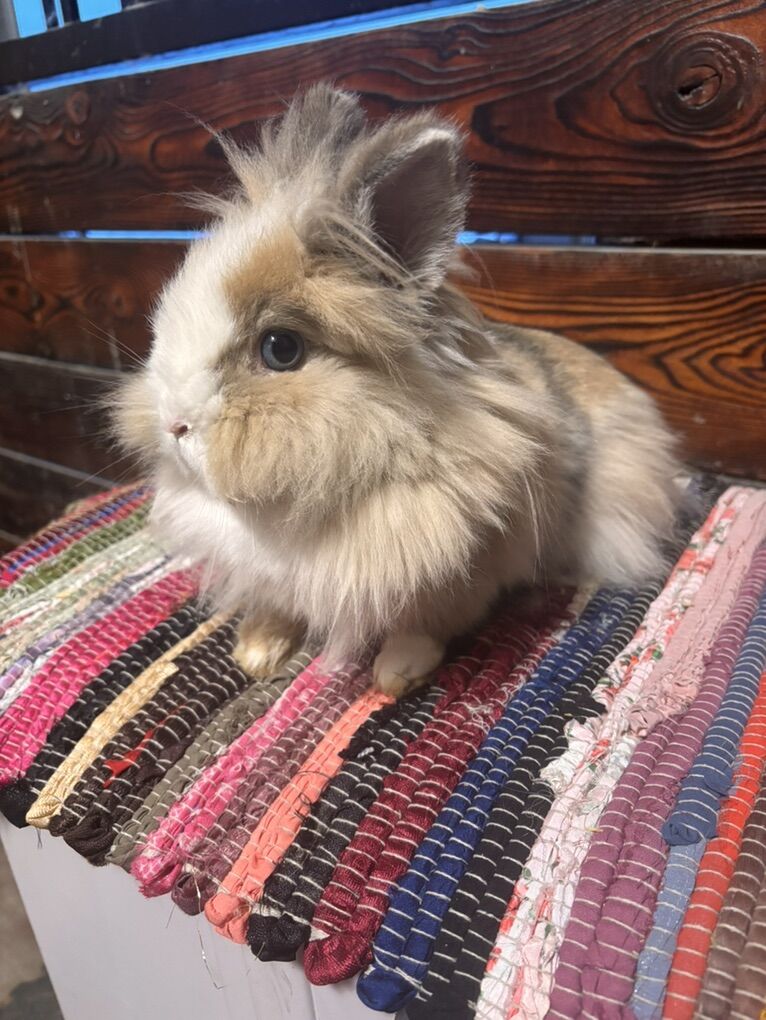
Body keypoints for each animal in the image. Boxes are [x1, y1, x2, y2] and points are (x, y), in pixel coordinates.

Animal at [114, 84, 681, 697]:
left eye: (281, 349)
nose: (172, 423)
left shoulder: (457, 571)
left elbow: (425, 623)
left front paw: (396, 674)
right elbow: (277, 605)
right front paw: (257, 651)